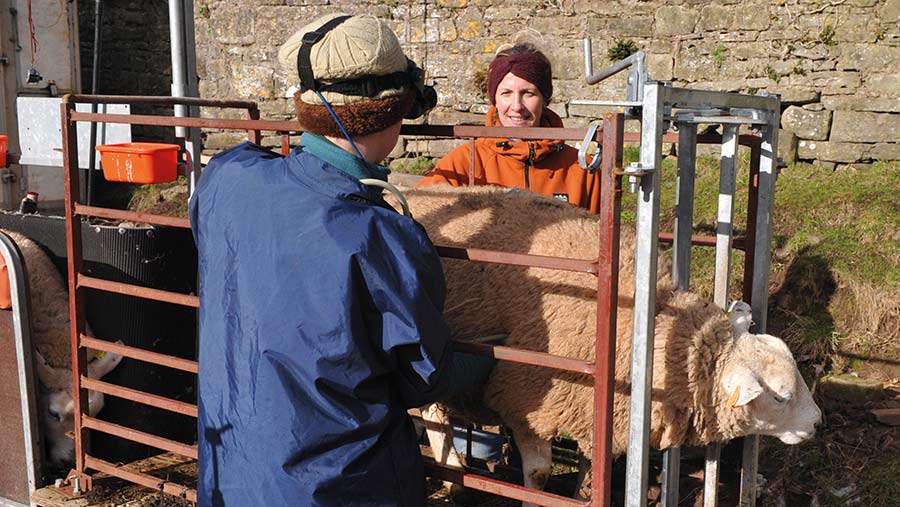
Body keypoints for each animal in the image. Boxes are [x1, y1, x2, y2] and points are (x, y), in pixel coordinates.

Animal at [388, 188, 824, 507]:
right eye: (780, 396)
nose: (818, 423)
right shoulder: (526, 400)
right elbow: (539, 475)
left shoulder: (596, 401)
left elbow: (591, 461)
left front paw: (585, 491)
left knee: (431, 408)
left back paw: (454, 476)